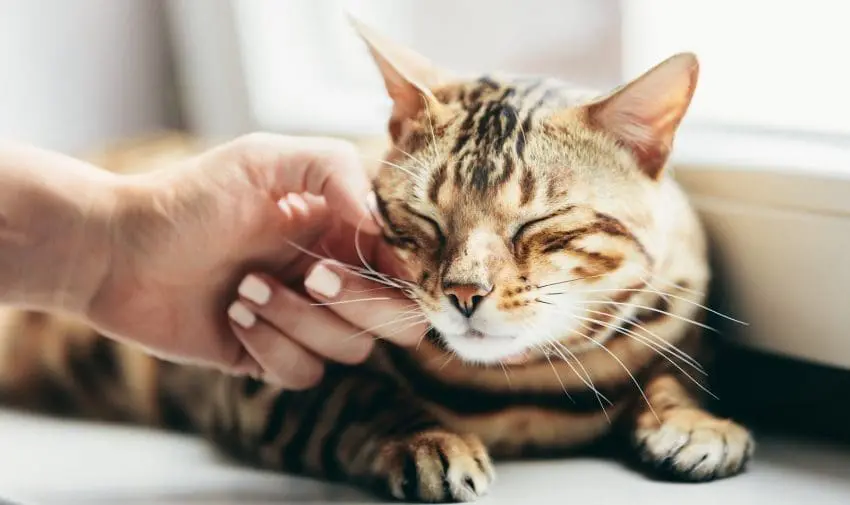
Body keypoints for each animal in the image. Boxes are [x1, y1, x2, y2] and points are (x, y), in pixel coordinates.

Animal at [1, 18, 756, 500]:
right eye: (423, 218)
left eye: (539, 225)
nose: (464, 293)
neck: (517, 388)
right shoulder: (264, 382)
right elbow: (357, 397)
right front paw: (426, 439)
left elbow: (671, 373)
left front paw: (696, 421)